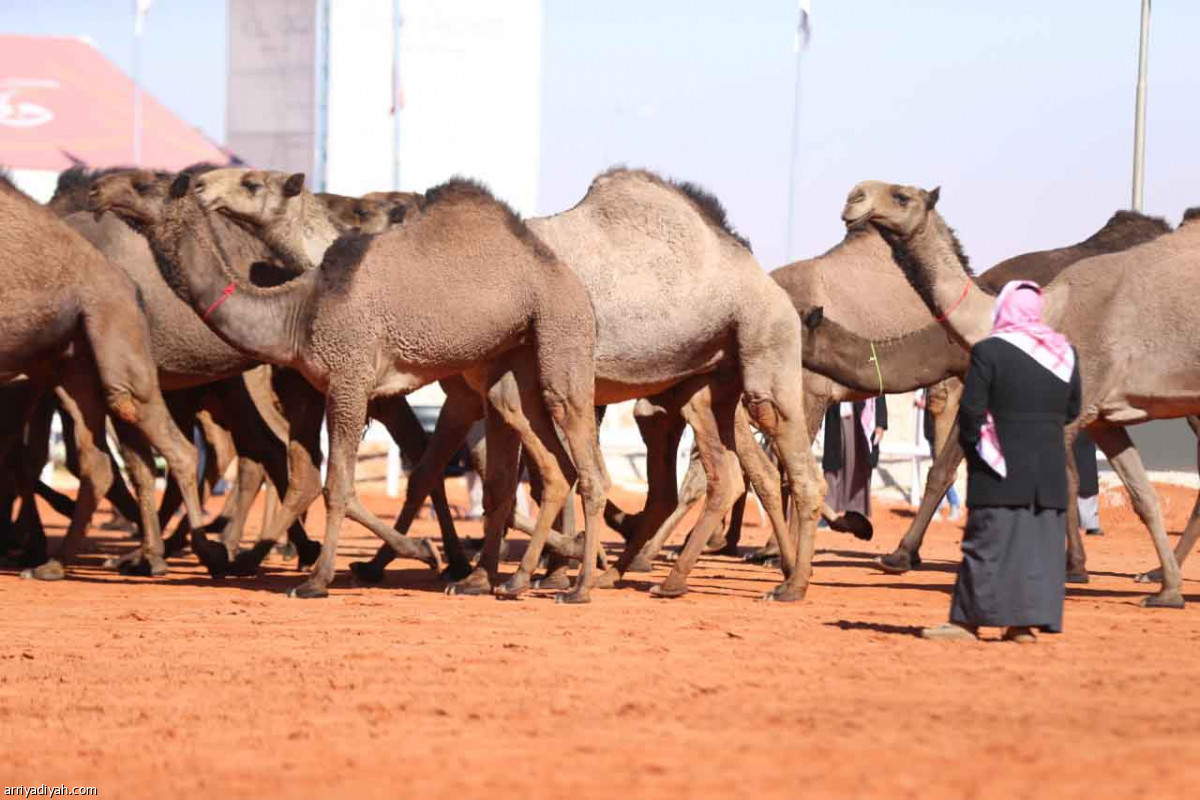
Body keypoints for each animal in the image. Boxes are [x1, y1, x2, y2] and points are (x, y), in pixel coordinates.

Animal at [0, 172, 208, 578]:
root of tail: (128, 283)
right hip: (70, 363)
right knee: (95, 463)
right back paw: (55, 563)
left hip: (114, 339)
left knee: (172, 442)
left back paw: (205, 554)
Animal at [201, 170, 825, 606]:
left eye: (252, 181)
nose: (201, 185)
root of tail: (757, 271)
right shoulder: (477, 386)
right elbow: (468, 473)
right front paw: (461, 567)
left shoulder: (465, 388)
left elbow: (455, 469)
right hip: (700, 384)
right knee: (735, 473)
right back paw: (666, 574)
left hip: (760, 350)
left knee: (780, 465)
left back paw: (784, 582)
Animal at [844, 179, 1200, 606]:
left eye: (902, 196)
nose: (854, 198)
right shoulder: (1101, 418)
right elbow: (1142, 496)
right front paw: (1169, 591)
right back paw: (1156, 575)